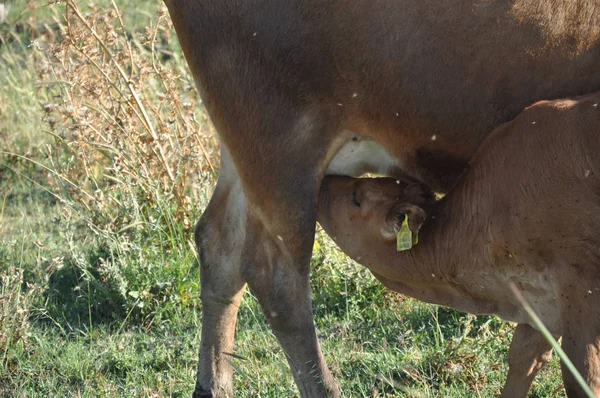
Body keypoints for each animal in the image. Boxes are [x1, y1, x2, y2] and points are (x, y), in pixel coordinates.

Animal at [318, 91, 600, 396]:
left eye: (356, 197)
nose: (323, 183)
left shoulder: (580, 285)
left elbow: (582, 377)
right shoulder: (540, 306)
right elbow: (522, 358)